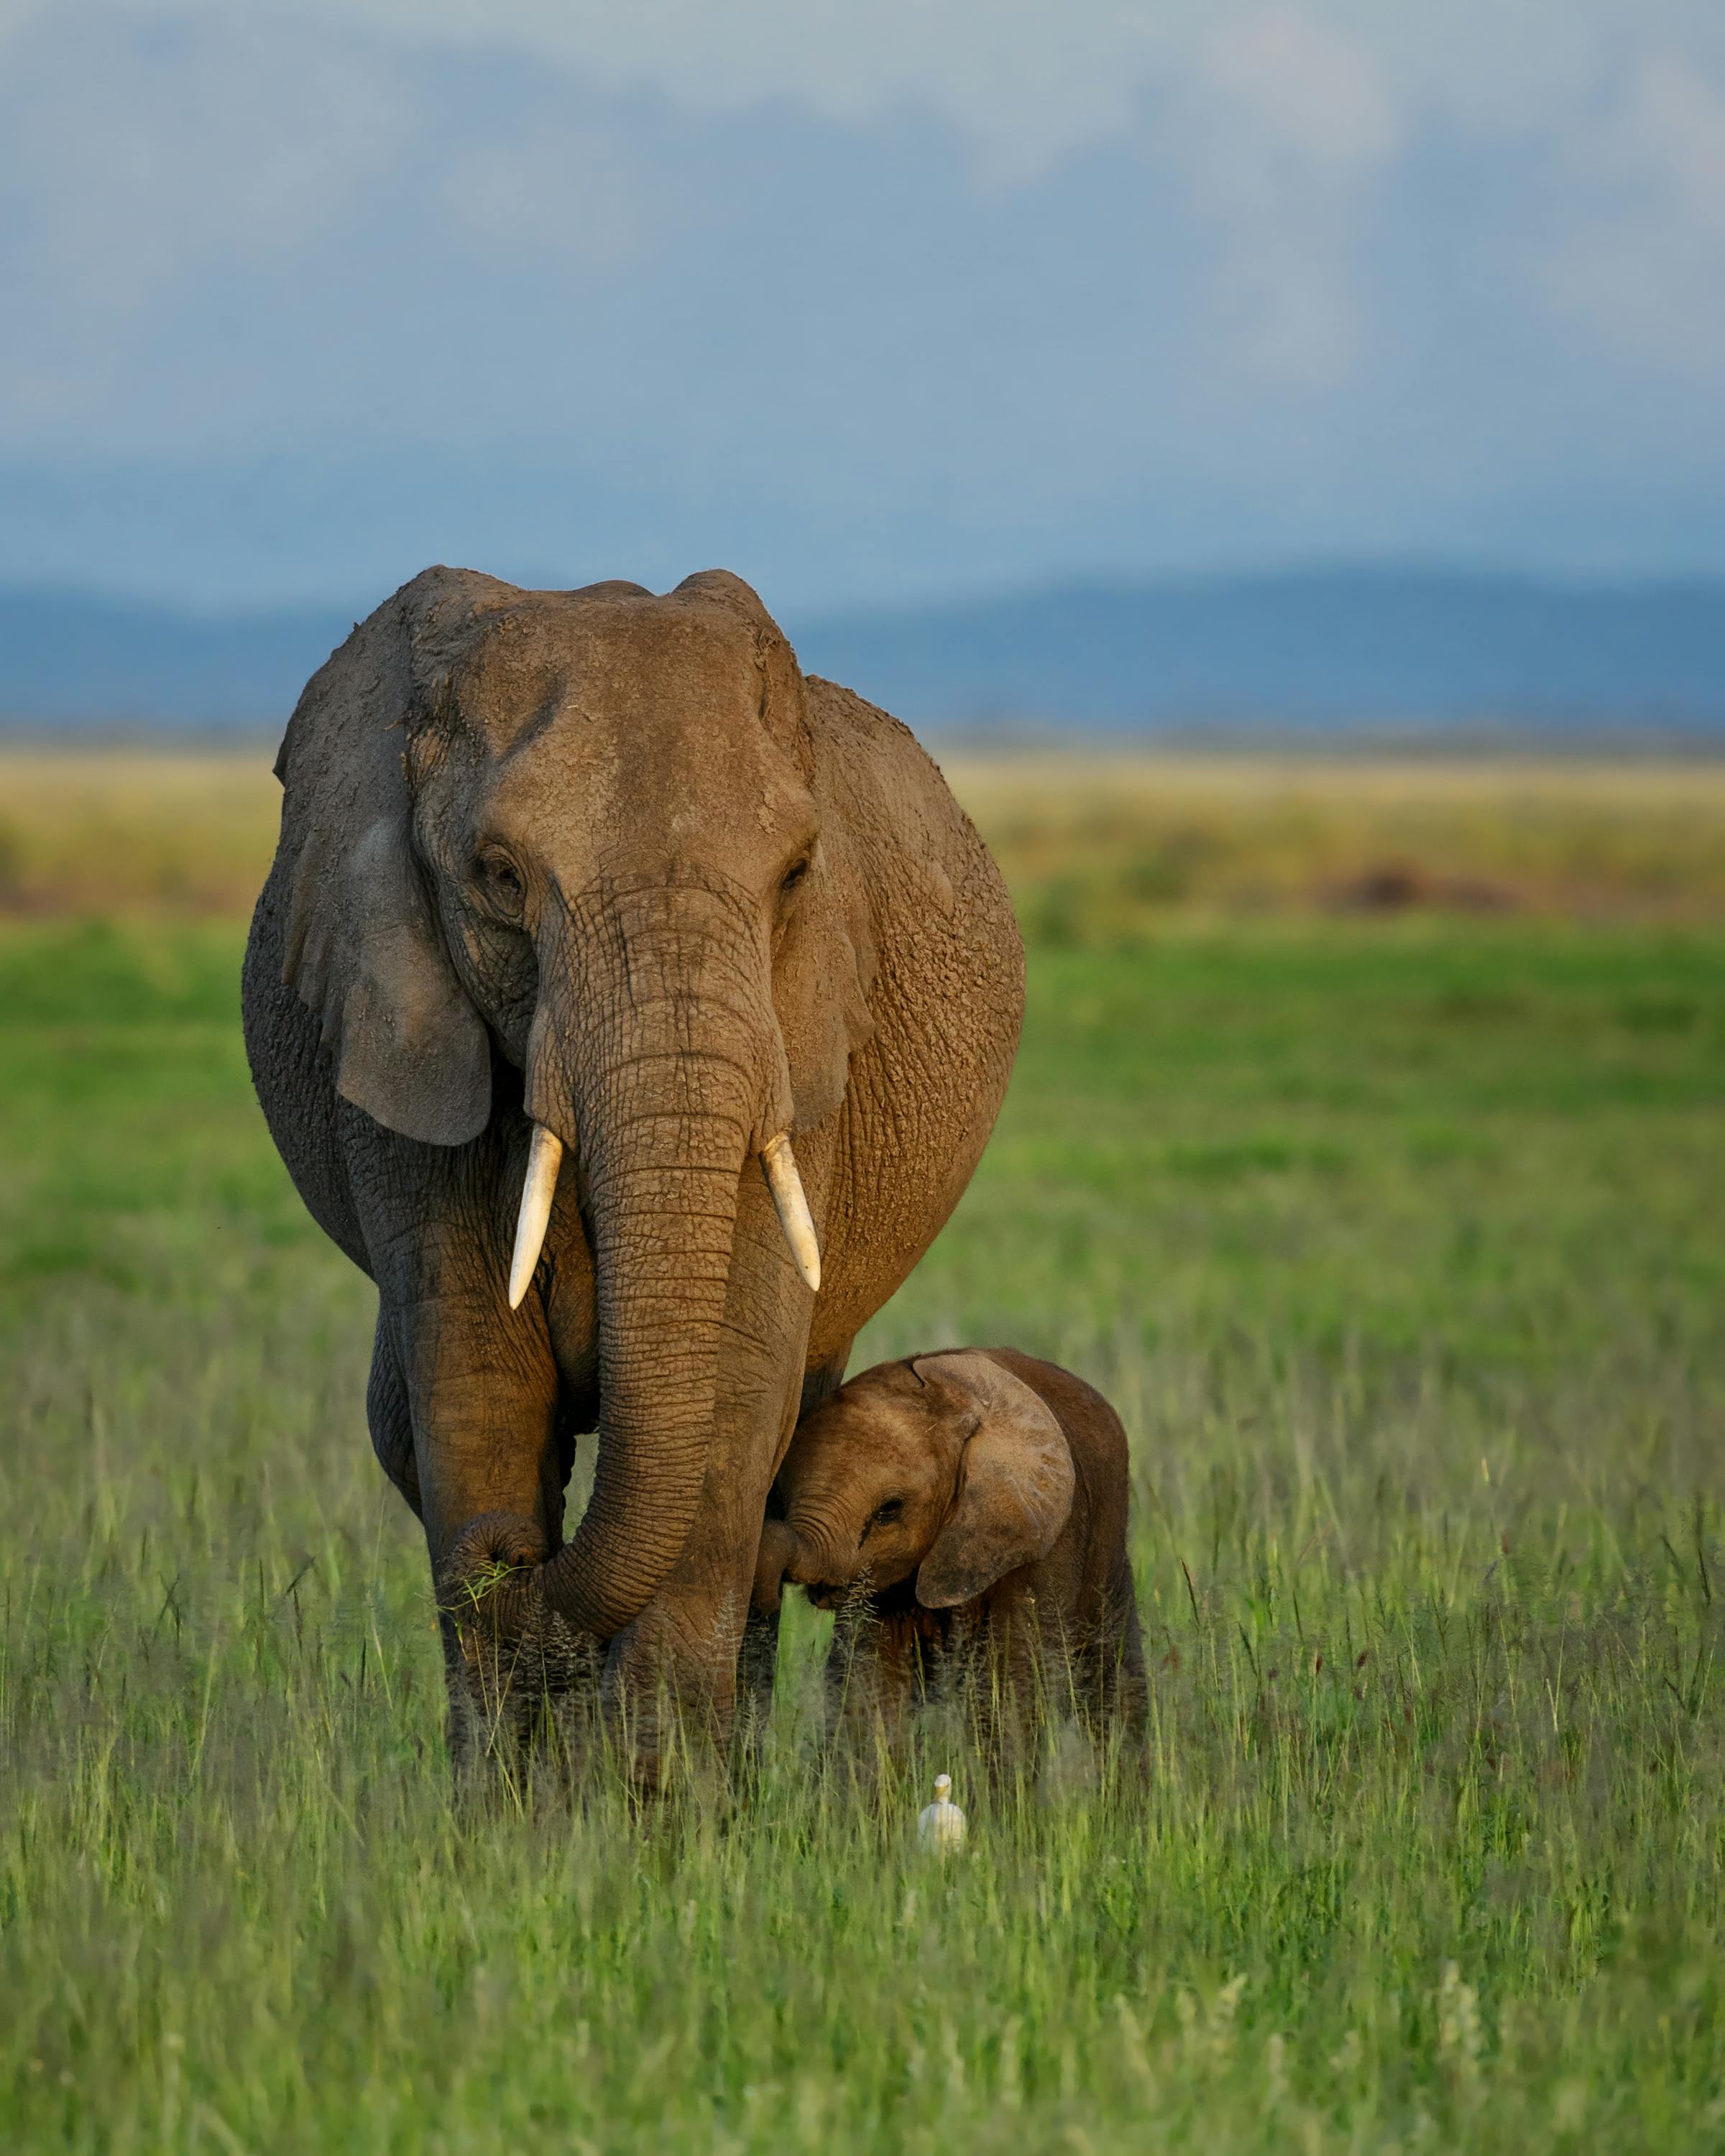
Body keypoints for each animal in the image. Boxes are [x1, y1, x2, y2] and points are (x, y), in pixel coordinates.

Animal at [241, 566, 1023, 1770]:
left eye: (798, 874)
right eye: (499, 876)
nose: (508, 1557)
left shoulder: (798, 1039)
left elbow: (735, 1395)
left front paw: (661, 1796)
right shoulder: (395, 1029)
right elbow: (475, 1386)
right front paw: (515, 1800)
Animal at [752, 1349, 1146, 1754]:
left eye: (889, 1510)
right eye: (781, 1494)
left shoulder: (1043, 1544)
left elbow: (1008, 1686)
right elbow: (867, 1686)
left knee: (1114, 1683)